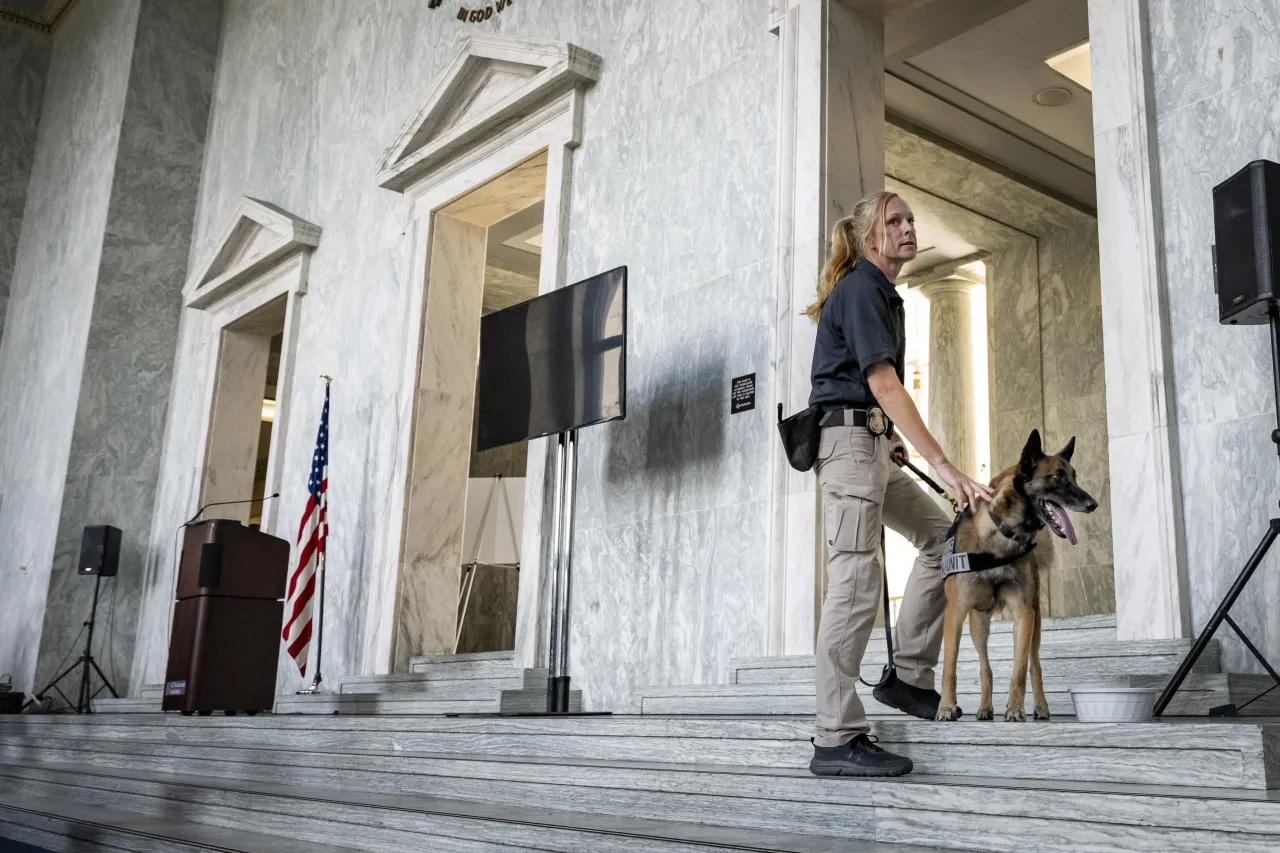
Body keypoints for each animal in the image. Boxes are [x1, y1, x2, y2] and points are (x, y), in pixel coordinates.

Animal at [931, 427, 1100, 722]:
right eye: (1058, 476)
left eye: (1075, 476)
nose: (1093, 504)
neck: (1002, 536)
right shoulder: (955, 613)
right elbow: (950, 667)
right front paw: (947, 707)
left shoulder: (1023, 613)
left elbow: (1020, 668)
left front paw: (1016, 708)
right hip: (978, 626)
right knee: (985, 667)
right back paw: (985, 707)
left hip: (1035, 622)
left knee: (1034, 664)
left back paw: (1040, 707)